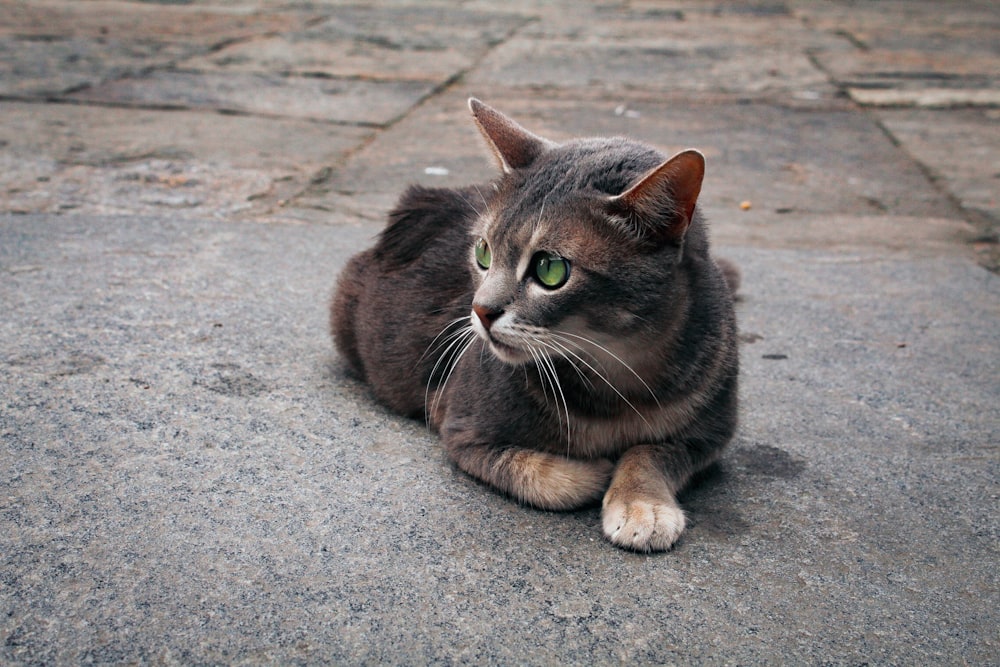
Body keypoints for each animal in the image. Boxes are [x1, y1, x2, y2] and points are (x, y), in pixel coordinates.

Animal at [332, 98, 740, 548]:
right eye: (483, 252)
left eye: (550, 269)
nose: (480, 310)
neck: (618, 371)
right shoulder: (458, 425)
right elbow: (546, 478)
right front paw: (595, 472)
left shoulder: (710, 435)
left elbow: (651, 452)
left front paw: (641, 503)